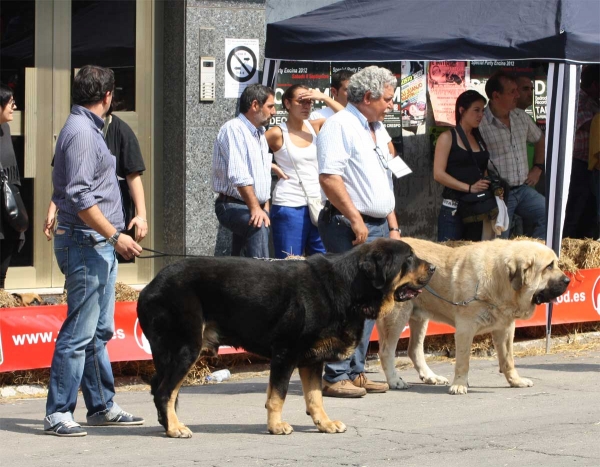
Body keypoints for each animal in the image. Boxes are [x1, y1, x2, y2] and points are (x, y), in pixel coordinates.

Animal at [138, 239, 434, 440]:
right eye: (408, 258)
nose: (432, 267)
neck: (350, 287)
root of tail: (150, 287)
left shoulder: (312, 359)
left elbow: (315, 397)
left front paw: (324, 424)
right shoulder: (286, 353)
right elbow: (277, 395)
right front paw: (276, 426)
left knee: (160, 389)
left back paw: (168, 424)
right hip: (186, 348)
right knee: (165, 391)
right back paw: (175, 427)